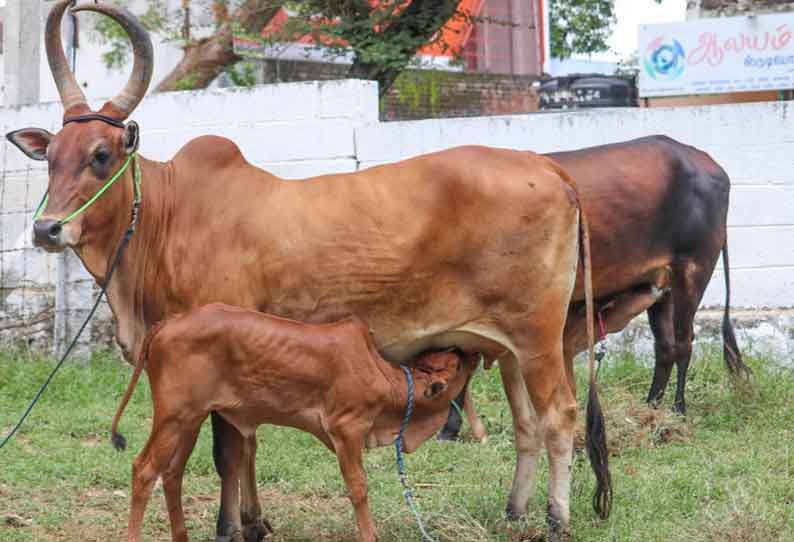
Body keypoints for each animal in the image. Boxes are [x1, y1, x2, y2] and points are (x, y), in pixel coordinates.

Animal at [110, 306, 476, 542]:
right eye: (457, 364)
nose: (468, 350)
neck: (386, 380)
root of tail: (167, 323)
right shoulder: (347, 429)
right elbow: (359, 487)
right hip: (173, 416)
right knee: (144, 470)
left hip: (190, 419)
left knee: (172, 473)